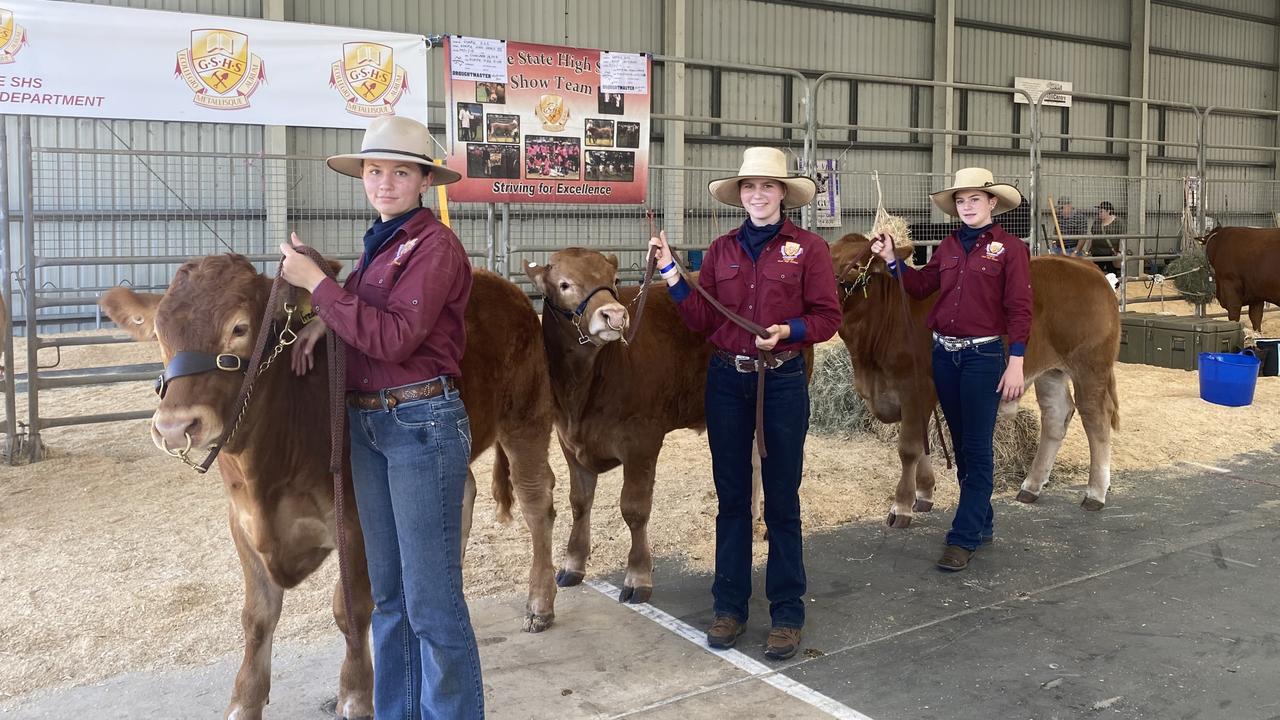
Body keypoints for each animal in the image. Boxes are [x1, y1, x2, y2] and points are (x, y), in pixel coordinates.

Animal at [99, 256, 560, 717]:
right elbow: (256, 617)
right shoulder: (241, 524)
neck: (265, 470)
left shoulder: (354, 519)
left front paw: (355, 695)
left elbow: (350, 609)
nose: (175, 427)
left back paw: (540, 602)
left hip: (526, 418)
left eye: (239, 328)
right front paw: (244, 701)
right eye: (160, 334)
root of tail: (500, 283)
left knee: (537, 504)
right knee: (459, 498)